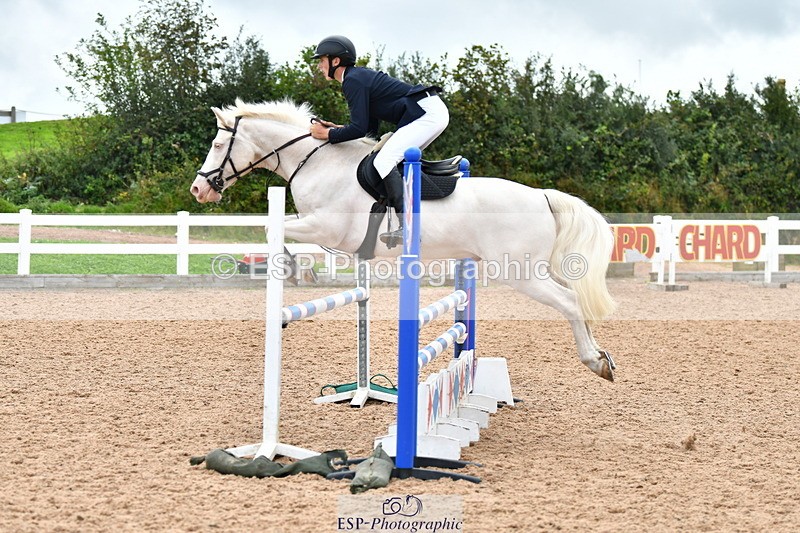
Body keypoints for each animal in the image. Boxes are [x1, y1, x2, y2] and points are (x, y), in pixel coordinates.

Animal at [190, 99, 618, 381]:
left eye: (217, 145)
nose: (198, 189)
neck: (317, 162)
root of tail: (542, 195)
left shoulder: (326, 227)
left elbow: (271, 228)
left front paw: (295, 272)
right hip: (528, 269)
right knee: (575, 297)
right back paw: (602, 356)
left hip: (521, 273)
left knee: (569, 301)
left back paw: (593, 361)